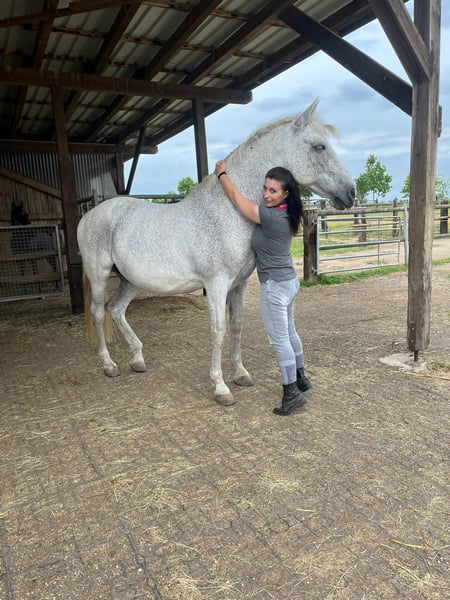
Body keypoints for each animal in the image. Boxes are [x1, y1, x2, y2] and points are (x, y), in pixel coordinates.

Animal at [77, 98, 355, 406]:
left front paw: (241, 374)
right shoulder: (217, 284)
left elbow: (236, 325)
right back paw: (108, 364)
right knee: (98, 313)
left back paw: (137, 359)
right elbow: (218, 331)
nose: (351, 192)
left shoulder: (239, 284)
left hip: (131, 280)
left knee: (116, 309)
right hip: (100, 275)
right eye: (319, 146)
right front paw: (220, 387)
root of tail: (88, 216)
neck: (226, 212)